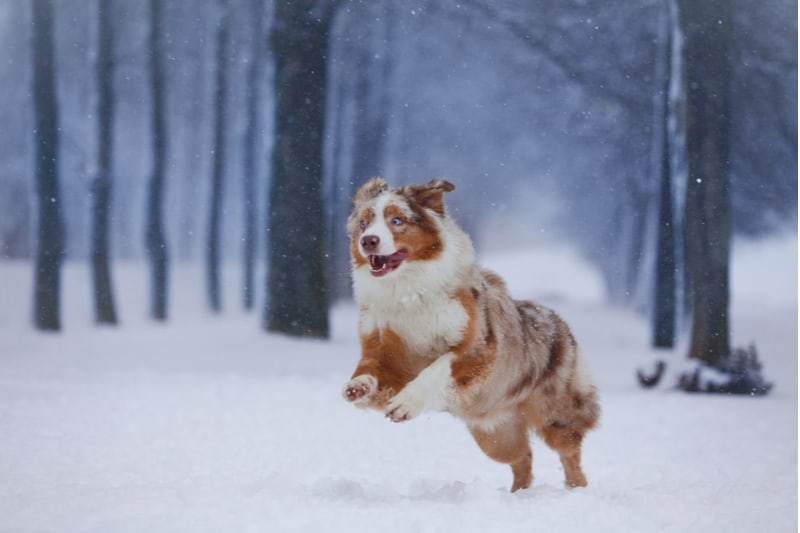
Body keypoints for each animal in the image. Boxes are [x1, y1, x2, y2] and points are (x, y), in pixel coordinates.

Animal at [340, 179, 596, 490]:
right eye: (364, 223)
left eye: (397, 220)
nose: (368, 241)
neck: (408, 292)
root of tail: (556, 318)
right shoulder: (385, 351)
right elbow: (369, 369)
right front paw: (359, 386)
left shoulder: (477, 349)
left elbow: (436, 369)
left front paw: (404, 404)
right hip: (493, 430)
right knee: (522, 457)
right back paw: (518, 494)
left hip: (554, 414)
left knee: (569, 453)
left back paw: (576, 490)